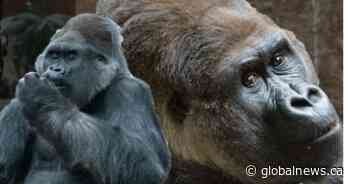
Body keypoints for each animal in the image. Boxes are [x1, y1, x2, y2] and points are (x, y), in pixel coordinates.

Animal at [0, 13, 171, 183]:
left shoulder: (130, 91)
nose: (55, 69)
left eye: (71, 56)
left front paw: (42, 98)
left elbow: (146, 166)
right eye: (54, 56)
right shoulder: (15, 106)